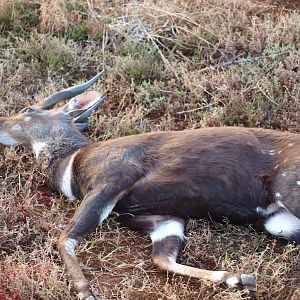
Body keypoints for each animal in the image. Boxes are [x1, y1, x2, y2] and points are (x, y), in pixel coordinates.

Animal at [0, 71, 300, 300]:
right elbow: (163, 260)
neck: (72, 161)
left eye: (28, 110)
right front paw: (238, 278)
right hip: (276, 222)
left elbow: (66, 238)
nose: (1, 122)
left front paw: (86, 291)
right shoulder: (164, 218)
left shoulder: (112, 181)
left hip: (289, 192)